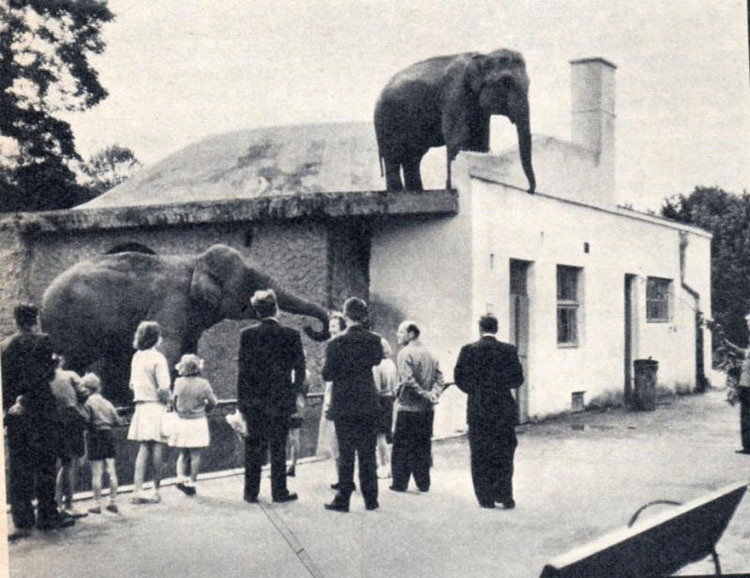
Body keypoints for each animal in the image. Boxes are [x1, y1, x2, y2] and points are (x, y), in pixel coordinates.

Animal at [40, 244, 328, 404]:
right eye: (252, 282)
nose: (310, 328)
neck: (195, 259)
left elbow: (188, 350)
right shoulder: (173, 302)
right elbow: (167, 348)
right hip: (67, 326)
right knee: (71, 361)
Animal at [374, 47, 536, 191]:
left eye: (529, 83)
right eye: (505, 81)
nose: (529, 190)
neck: (483, 56)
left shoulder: (479, 109)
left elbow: (480, 140)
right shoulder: (454, 94)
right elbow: (457, 138)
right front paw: (450, 188)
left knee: (413, 157)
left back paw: (415, 193)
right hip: (386, 120)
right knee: (393, 155)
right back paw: (397, 192)